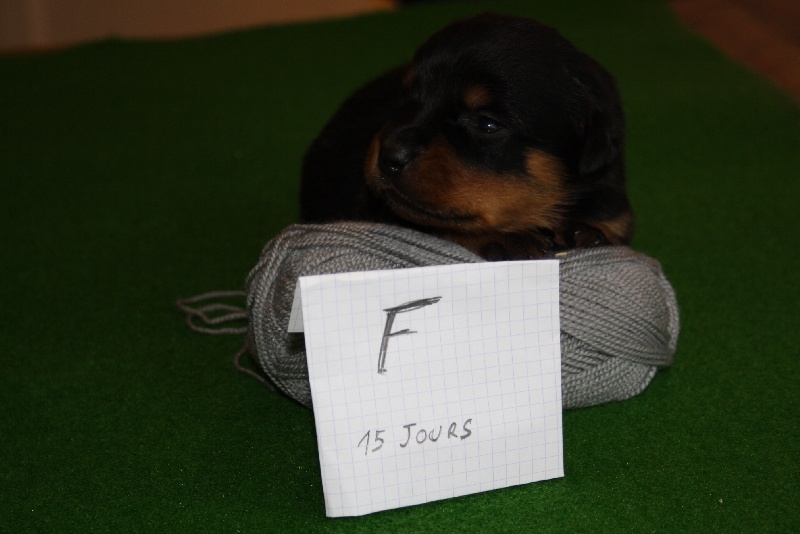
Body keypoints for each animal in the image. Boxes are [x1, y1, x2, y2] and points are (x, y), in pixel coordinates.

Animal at [300, 13, 632, 260]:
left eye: (486, 124)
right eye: (406, 98)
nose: (390, 155)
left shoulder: (613, 210)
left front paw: (582, 232)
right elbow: (435, 225)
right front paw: (504, 238)